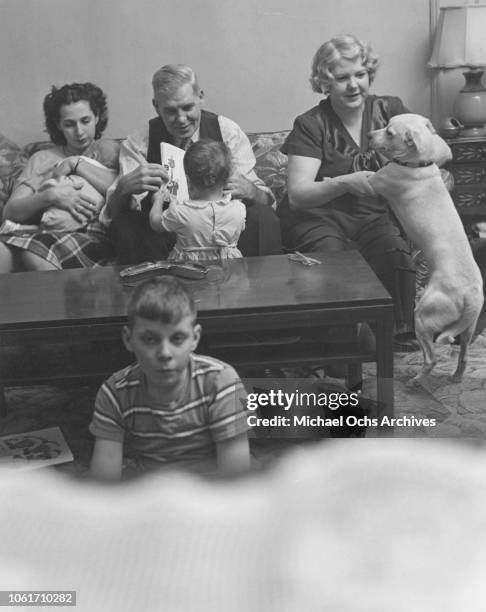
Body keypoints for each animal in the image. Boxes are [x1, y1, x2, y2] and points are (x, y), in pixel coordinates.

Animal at [368, 112, 482, 384]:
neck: (419, 164)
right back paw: (455, 377)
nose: (368, 136)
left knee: (431, 358)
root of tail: (471, 294)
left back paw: (416, 381)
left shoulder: (376, 181)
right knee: (462, 356)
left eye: (389, 132)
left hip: (422, 316)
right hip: (467, 328)